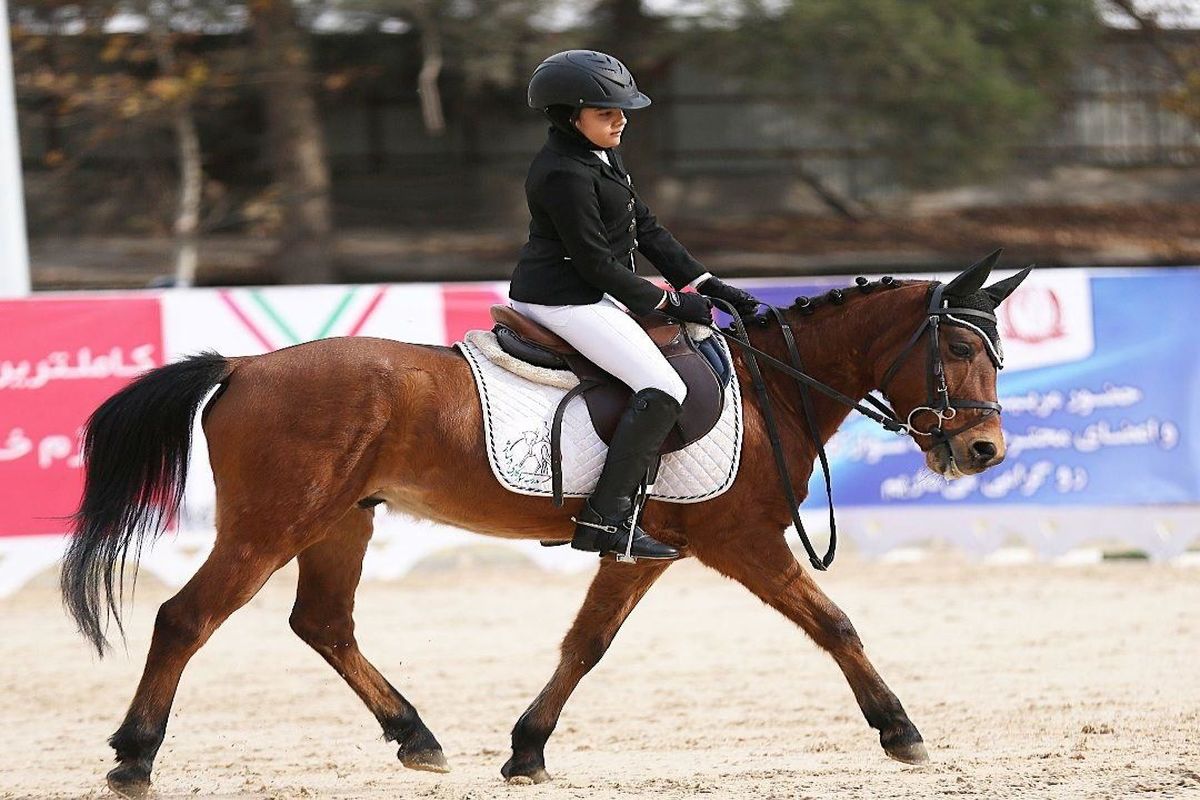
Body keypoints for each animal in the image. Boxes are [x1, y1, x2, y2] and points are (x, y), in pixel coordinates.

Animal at [60, 255, 1027, 796]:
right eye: (961, 348)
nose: (985, 450)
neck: (771, 388)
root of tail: (243, 366)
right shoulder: (743, 541)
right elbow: (835, 623)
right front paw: (900, 731)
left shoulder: (644, 552)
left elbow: (585, 644)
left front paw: (526, 749)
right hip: (271, 525)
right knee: (186, 619)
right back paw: (134, 758)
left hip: (340, 523)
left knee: (323, 624)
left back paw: (417, 738)